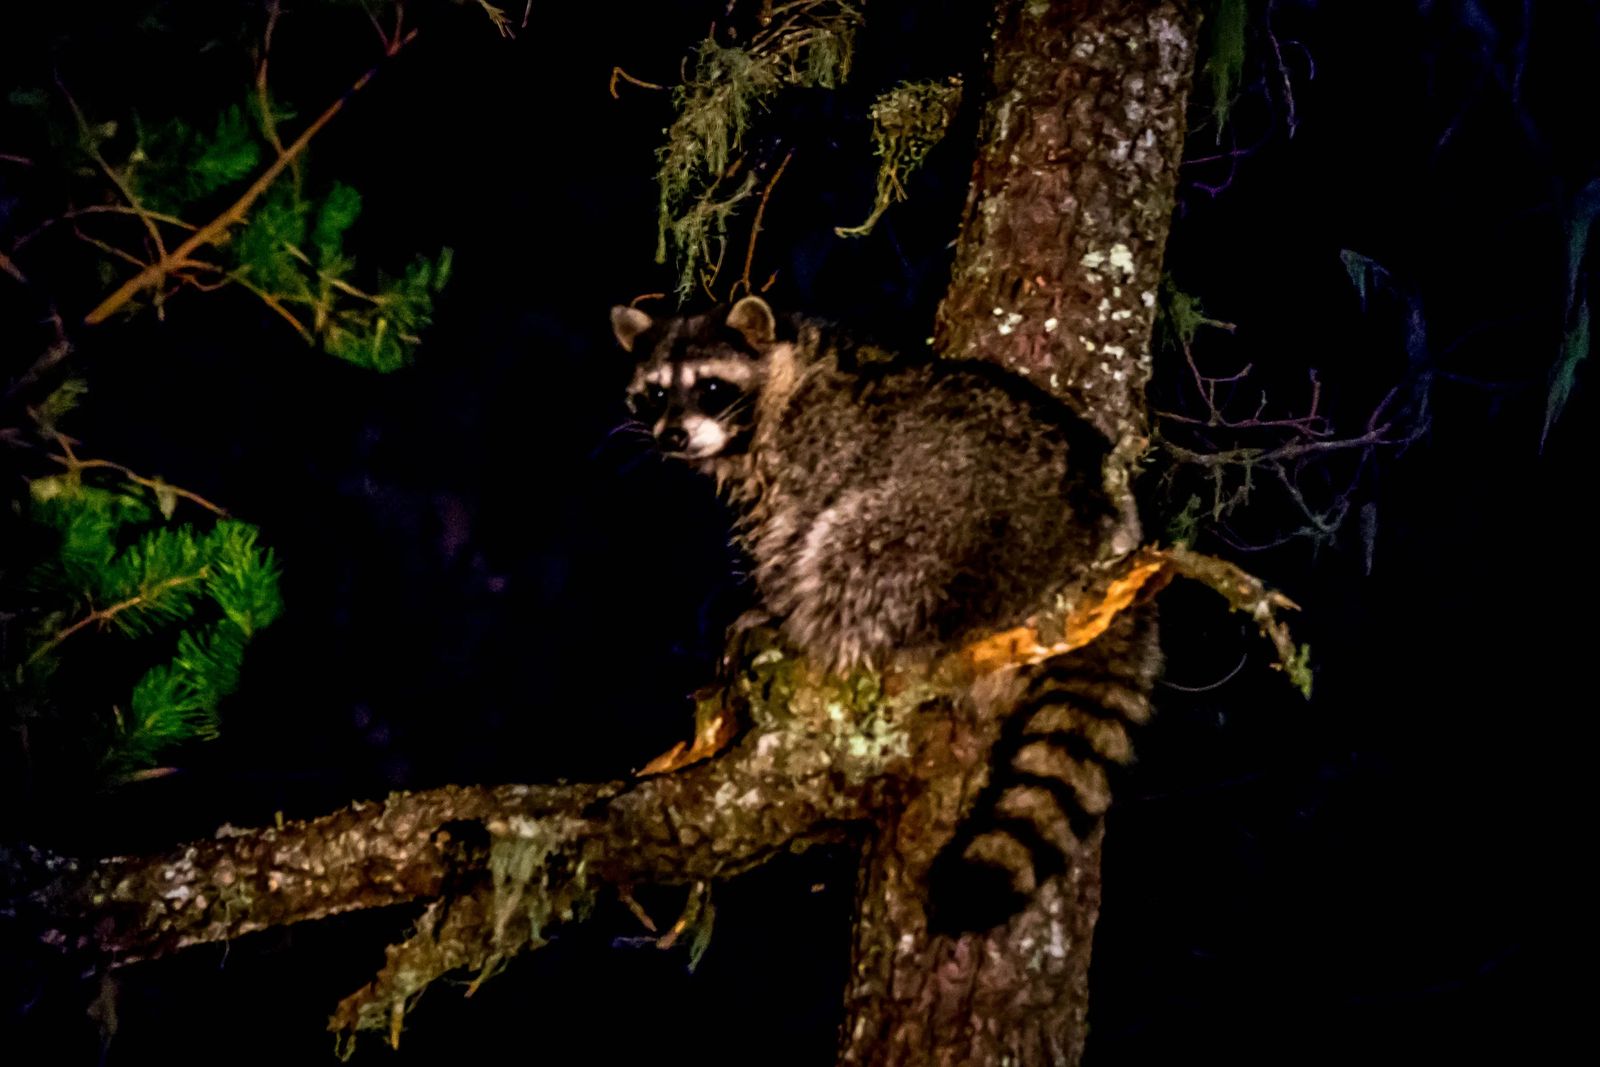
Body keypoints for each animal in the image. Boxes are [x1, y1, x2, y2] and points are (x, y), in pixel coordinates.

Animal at [614, 294, 1164, 927]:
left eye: (708, 388)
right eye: (655, 394)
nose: (673, 435)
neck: (778, 383)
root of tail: (1097, 551)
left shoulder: (818, 448)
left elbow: (791, 536)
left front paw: (770, 607)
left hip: (955, 520)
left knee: (851, 550)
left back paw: (809, 637)